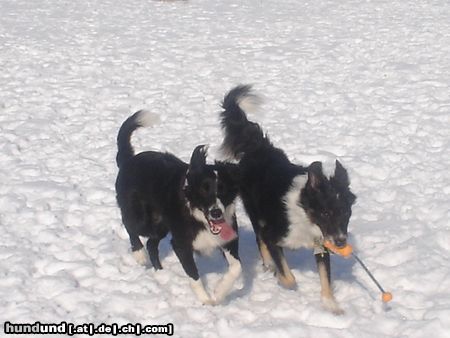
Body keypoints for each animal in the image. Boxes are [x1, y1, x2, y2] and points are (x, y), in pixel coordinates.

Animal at [116, 109, 243, 304]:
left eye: (223, 190)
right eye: (204, 190)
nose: (215, 213)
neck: (199, 218)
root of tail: (128, 160)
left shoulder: (228, 238)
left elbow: (236, 268)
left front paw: (219, 292)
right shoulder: (181, 244)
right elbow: (194, 276)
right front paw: (205, 301)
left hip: (160, 225)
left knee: (152, 244)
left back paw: (160, 272)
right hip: (143, 219)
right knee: (131, 226)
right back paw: (139, 254)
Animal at [220, 85, 356, 314]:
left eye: (346, 212)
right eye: (325, 212)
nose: (340, 241)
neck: (304, 214)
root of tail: (259, 147)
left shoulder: (321, 243)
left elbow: (325, 277)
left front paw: (331, 305)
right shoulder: (274, 234)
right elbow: (289, 276)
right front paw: (280, 276)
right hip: (256, 211)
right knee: (259, 239)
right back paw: (269, 265)